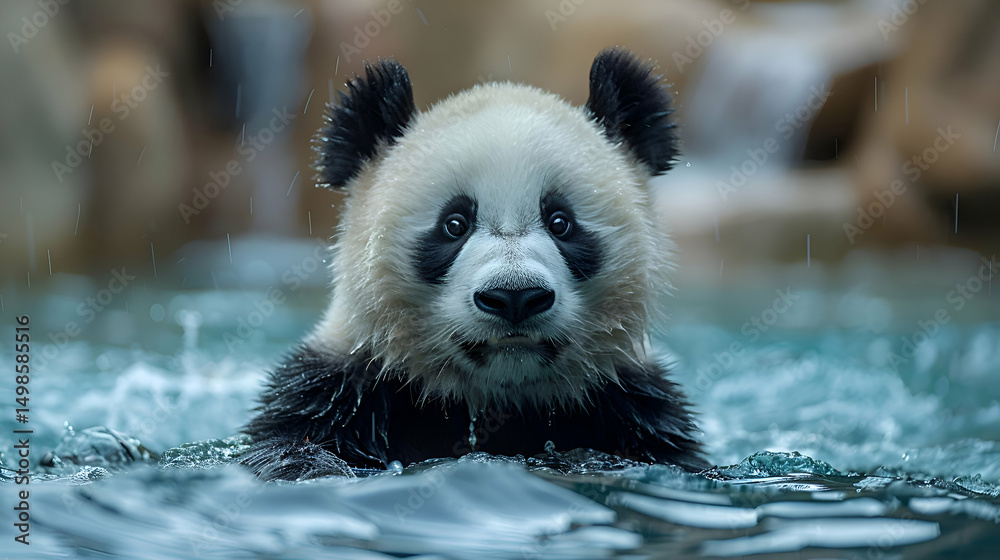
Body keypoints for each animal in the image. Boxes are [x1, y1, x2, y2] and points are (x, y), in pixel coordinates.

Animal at [240, 47, 707, 480]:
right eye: (454, 224)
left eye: (561, 222)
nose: (515, 296)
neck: (493, 403)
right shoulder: (339, 390)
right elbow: (289, 446)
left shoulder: (630, 405)